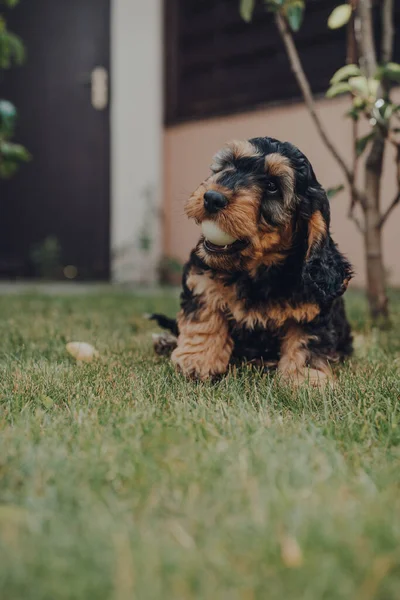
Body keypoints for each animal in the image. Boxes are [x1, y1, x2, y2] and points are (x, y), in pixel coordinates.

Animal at [151, 136, 354, 384]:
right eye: (230, 164)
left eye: (272, 186)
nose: (212, 198)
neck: (257, 270)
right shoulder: (201, 278)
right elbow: (205, 318)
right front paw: (197, 360)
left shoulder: (314, 307)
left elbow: (307, 342)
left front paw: (305, 379)